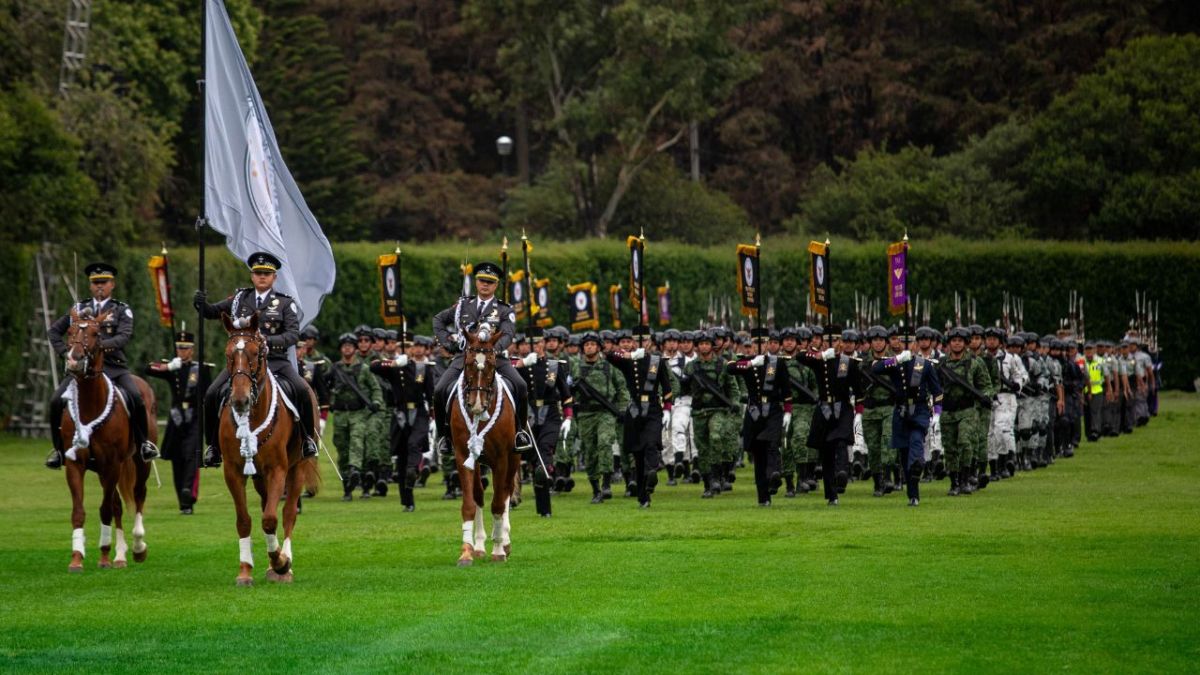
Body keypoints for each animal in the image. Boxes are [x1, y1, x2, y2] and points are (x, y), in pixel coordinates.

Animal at [60, 307, 156, 569]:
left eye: (96, 333)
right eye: (70, 331)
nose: (74, 360)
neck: (90, 407)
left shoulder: (112, 464)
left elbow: (105, 510)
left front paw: (103, 555)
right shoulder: (75, 463)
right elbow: (80, 511)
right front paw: (76, 557)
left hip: (138, 463)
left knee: (139, 495)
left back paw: (138, 547)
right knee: (117, 505)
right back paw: (120, 555)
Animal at [217, 314, 319, 583]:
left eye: (256, 353)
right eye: (228, 354)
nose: (240, 399)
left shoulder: (277, 470)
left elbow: (271, 519)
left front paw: (281, 563)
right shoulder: (233, 471)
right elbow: (244, 520)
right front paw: (245, 570)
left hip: (297, 467)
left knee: (288, 513)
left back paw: (284, 564)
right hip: (260, 477)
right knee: (265, 506)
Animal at [448, 324, 518, 564]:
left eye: (492, 364)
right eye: (468, 362)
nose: (476, 405)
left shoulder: (502, 458)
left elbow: (498, 502)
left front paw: (498, 550)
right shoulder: (463, 455)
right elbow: (470, 503)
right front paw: (467, 551)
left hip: (515, 457)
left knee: (506, 492)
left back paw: (504, 541)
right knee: (480, 494)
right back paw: (479, 545)